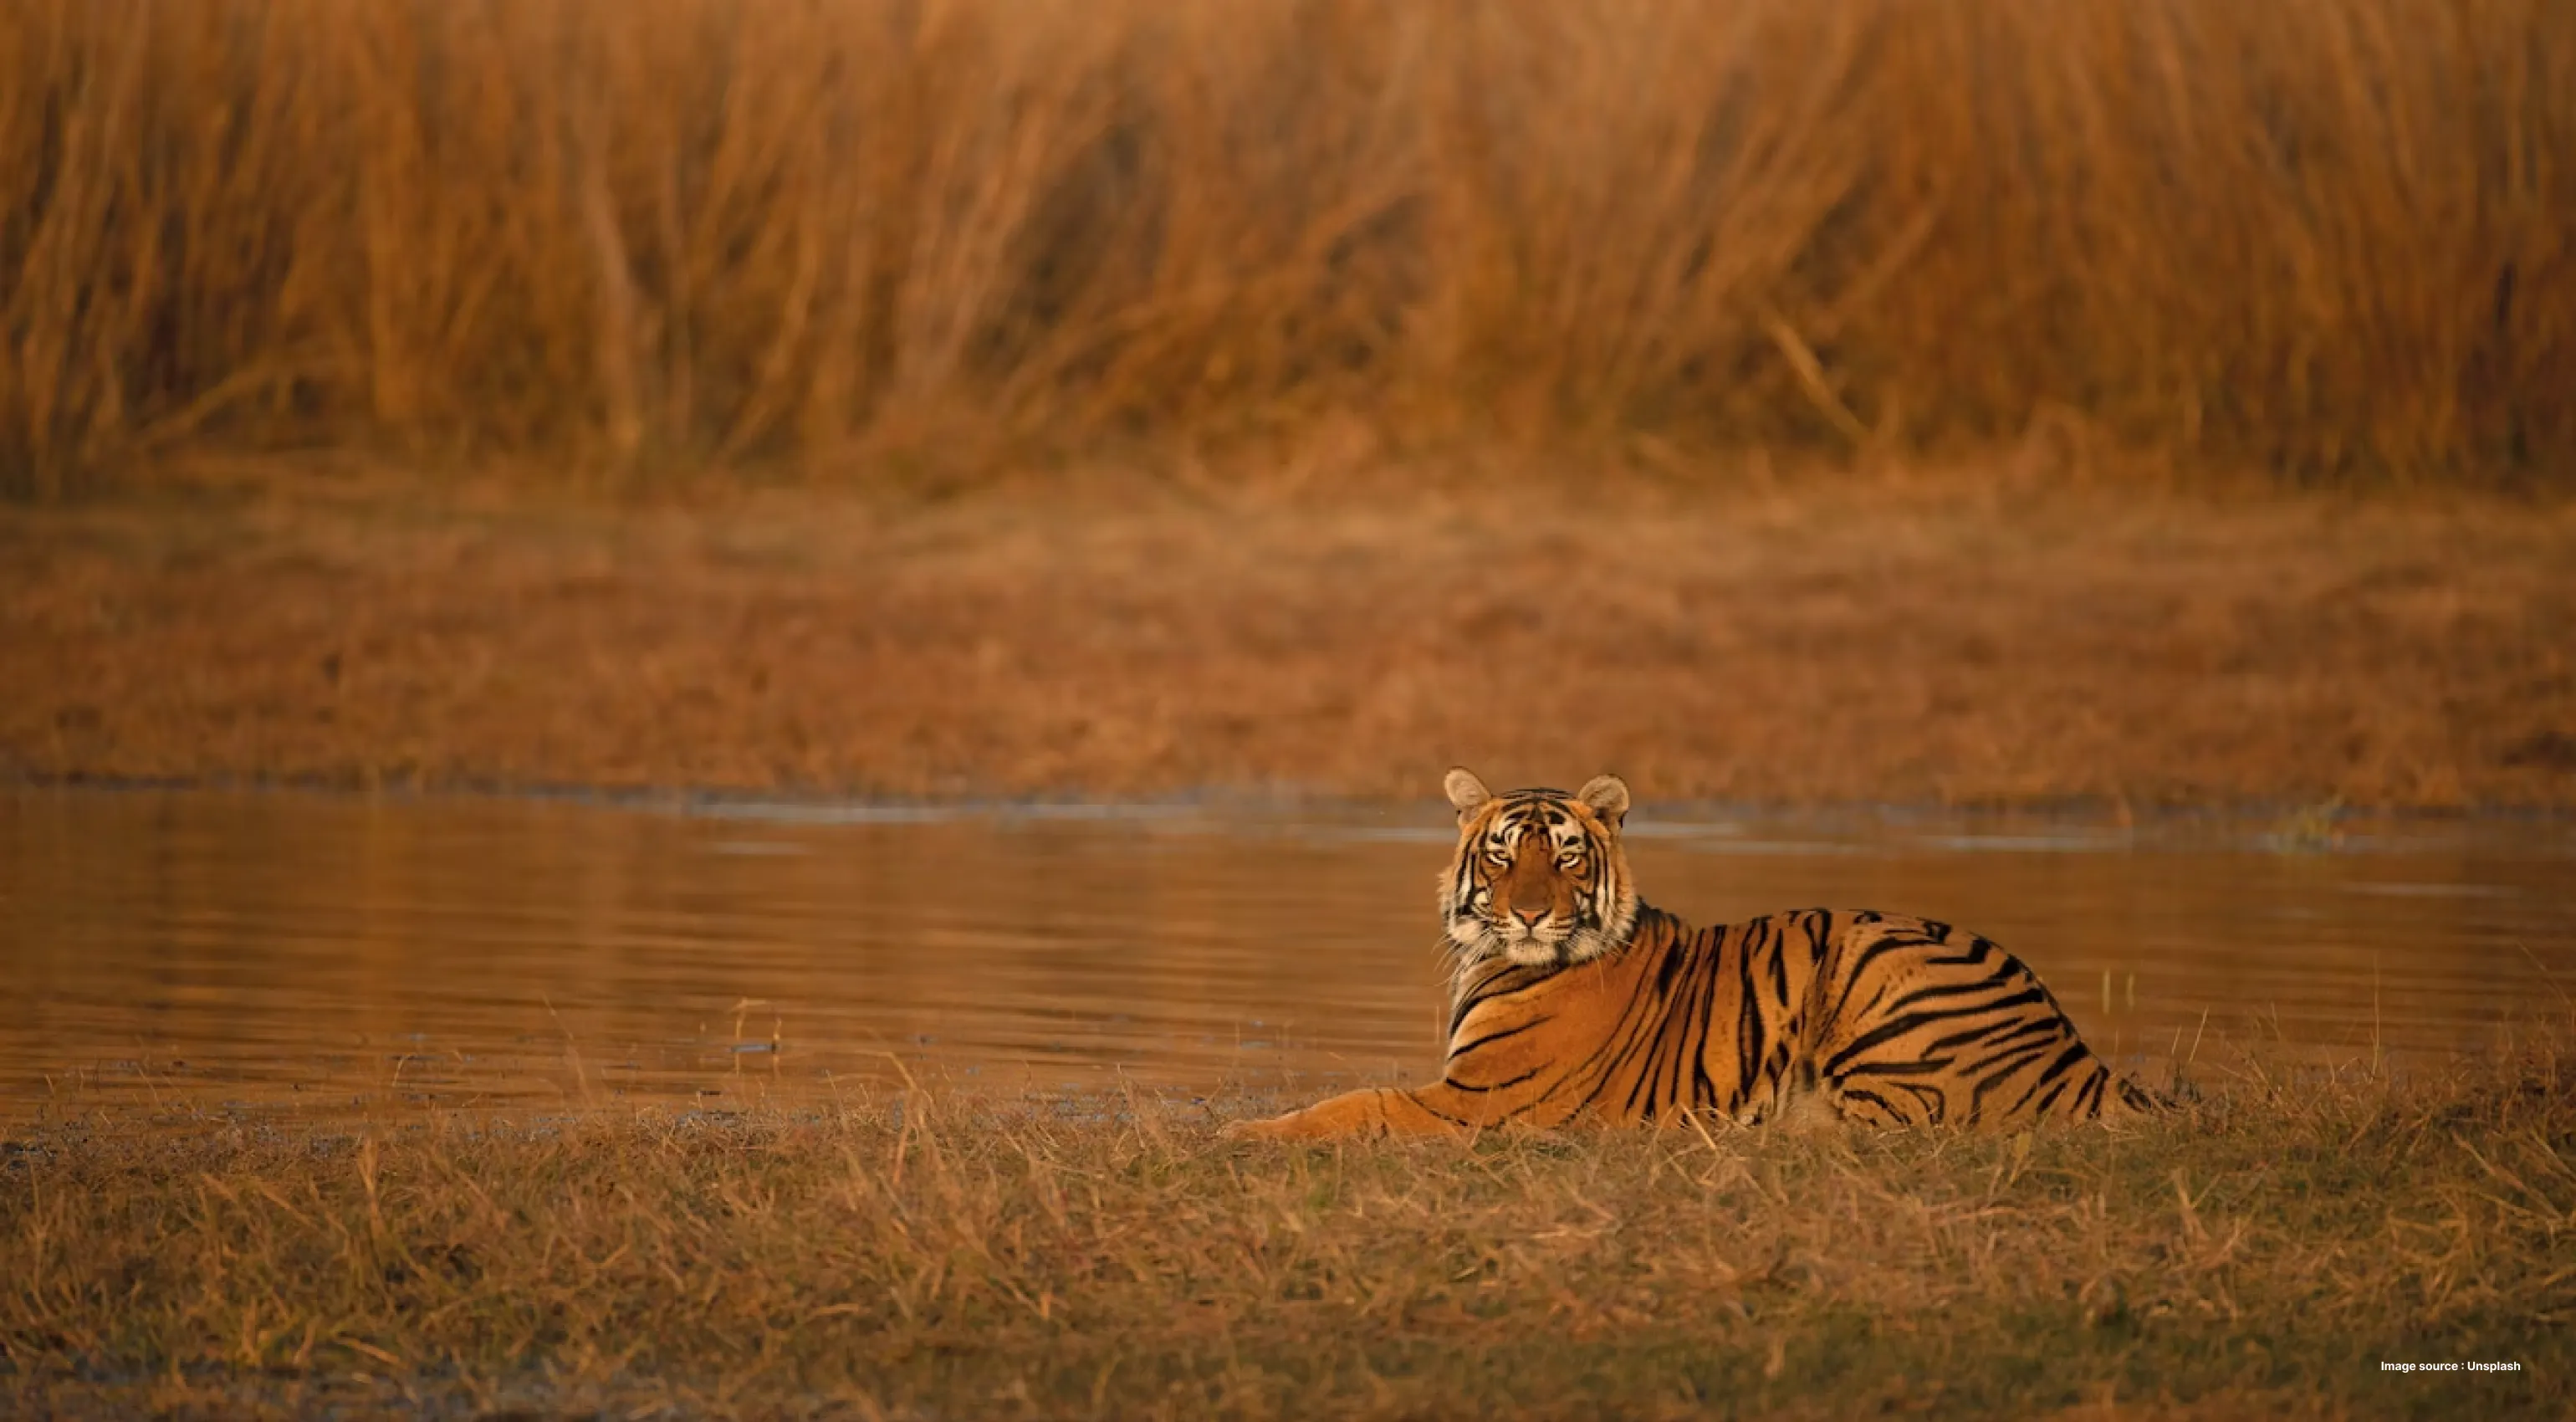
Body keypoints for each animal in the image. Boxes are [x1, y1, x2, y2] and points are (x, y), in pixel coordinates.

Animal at [1220, 768, 2166, 1140]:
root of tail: (2077, 1051)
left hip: (1875, 963)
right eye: (1500, 855)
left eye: (1566, 856)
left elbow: (1353, 1103)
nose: (1528, 913)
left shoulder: (1476, 1103)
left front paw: (1240, 1132)